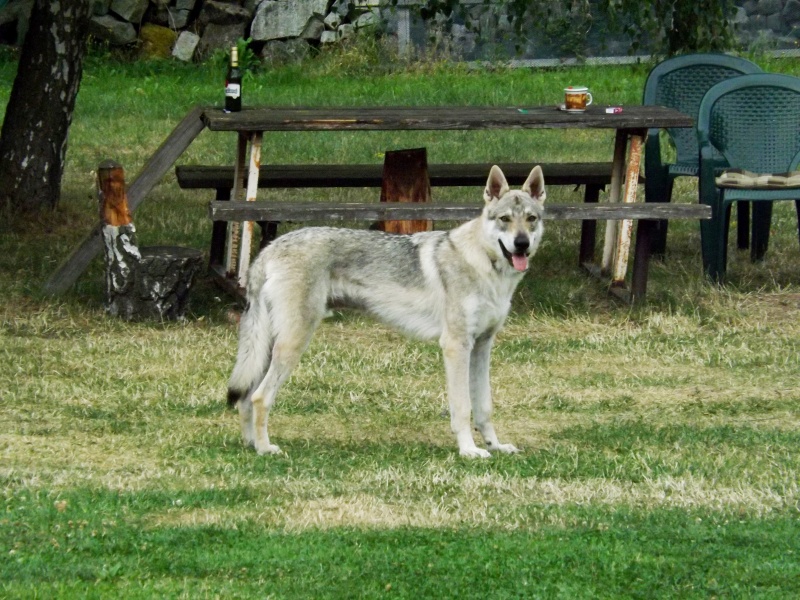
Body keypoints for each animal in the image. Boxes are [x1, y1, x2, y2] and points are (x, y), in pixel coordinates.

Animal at [228, 166, 548, 458]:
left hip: (270, 347)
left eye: (531, 219)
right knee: (259, 397)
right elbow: (461, 407)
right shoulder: (456, 346)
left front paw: (496, 446)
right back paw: (265, 449)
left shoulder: (482, 346)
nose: (521, 244)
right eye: (505, 219)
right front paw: (469, 450)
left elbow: (483, 406)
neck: (484, 264)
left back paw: (250, 444)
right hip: (292, 344)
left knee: (245, 397)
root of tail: (268, 250)